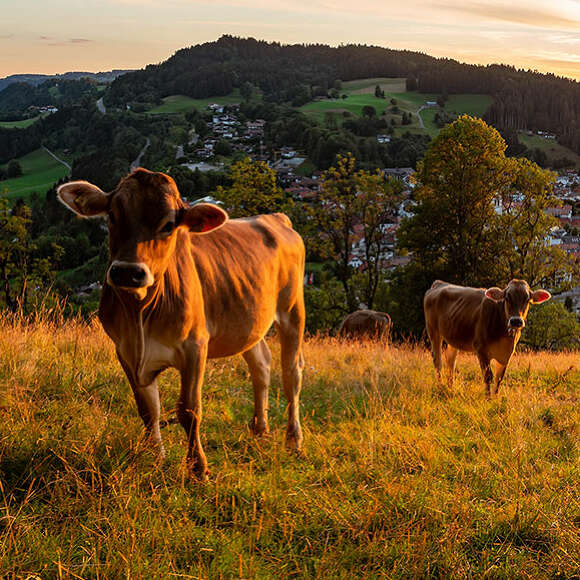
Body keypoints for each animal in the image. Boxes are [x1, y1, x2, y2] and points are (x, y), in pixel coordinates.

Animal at [424, 278, 552, 396]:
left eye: (527, 299)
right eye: (507, 298)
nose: (516, 321)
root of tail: (439, 283)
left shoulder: (506, 355)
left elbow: (499, 378)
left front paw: (495, 399)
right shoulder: (481, 350)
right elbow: (488, 376)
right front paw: (488, 399)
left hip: (454, 336)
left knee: (450, 361)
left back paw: (451, 388)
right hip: (433, 330)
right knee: (437, 360)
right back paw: (440, 386)